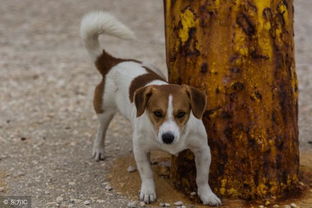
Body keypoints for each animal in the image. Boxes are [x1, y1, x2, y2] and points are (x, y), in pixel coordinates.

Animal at [80, 10, 222, 206]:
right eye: (157, 113)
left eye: (181, 114)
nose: (168, 137)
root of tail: (115, 62)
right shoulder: (140, 148)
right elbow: (146, 173)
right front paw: (148, 191)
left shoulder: (203, 150)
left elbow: (202, 177)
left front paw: (207, 195)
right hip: (104, 110)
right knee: (101, 129)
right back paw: (99, 149)